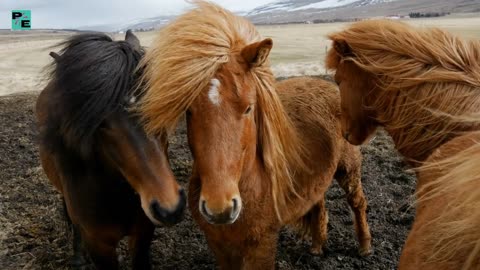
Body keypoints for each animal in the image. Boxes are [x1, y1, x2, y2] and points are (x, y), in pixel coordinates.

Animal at [137, 2, 374, 268]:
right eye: (188, 111)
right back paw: (316, 247)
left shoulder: (262, 246)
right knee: (318, 204)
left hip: (349, 169)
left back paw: (365, 247)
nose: (220, 207)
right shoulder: (219, 246)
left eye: (249, 108)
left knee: (358, 203)